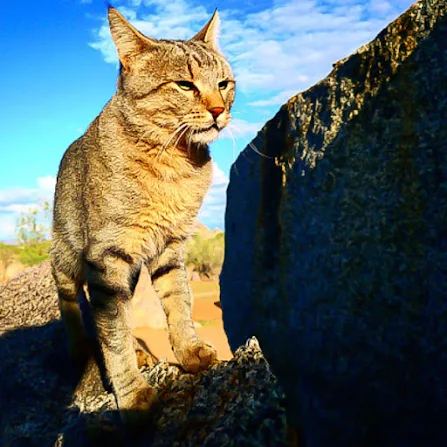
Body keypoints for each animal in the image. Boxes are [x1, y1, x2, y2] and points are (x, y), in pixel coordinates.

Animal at [50, 7, 234, 428]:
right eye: (184, 85)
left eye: (224, 83)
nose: (219, 111)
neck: (175, 162)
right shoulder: (107, 256)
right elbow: (113, 333)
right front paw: (131, 394)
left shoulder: (170, 247)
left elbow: (178, 302)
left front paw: (188, 350)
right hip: (67, 249)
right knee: (72, 297)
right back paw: (80, 347)